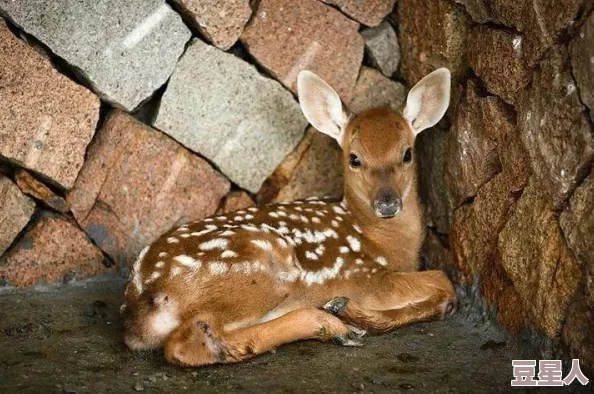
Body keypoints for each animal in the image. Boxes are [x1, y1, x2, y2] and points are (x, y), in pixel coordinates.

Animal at [121, 67, 454, 366]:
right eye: (354, 159)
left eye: (407, 154)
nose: (388, 203)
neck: (380, 239)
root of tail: (145, 296)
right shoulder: (363, 276)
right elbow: (445, 283)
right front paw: (350, 310)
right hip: (261, 265)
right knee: (187, 343)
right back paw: (333, 325)